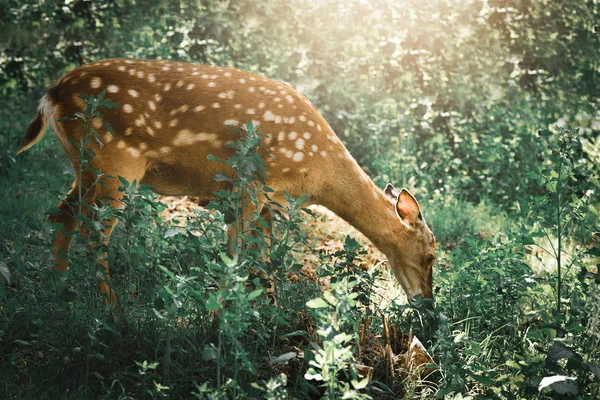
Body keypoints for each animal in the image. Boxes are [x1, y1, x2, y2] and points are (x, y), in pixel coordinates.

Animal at [17, 57, 436, 310]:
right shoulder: (250, 185)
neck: (318, 173)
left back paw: (58, 292)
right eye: (431, 255)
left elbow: (264, 261)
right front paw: (221, 319)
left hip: (87, 167)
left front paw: (270, 316)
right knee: (92, 234)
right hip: (113, 164)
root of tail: (52, 94)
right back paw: (114, 315)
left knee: (61, 215)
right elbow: (236, 256)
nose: (428, 303)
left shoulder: (268, 198)